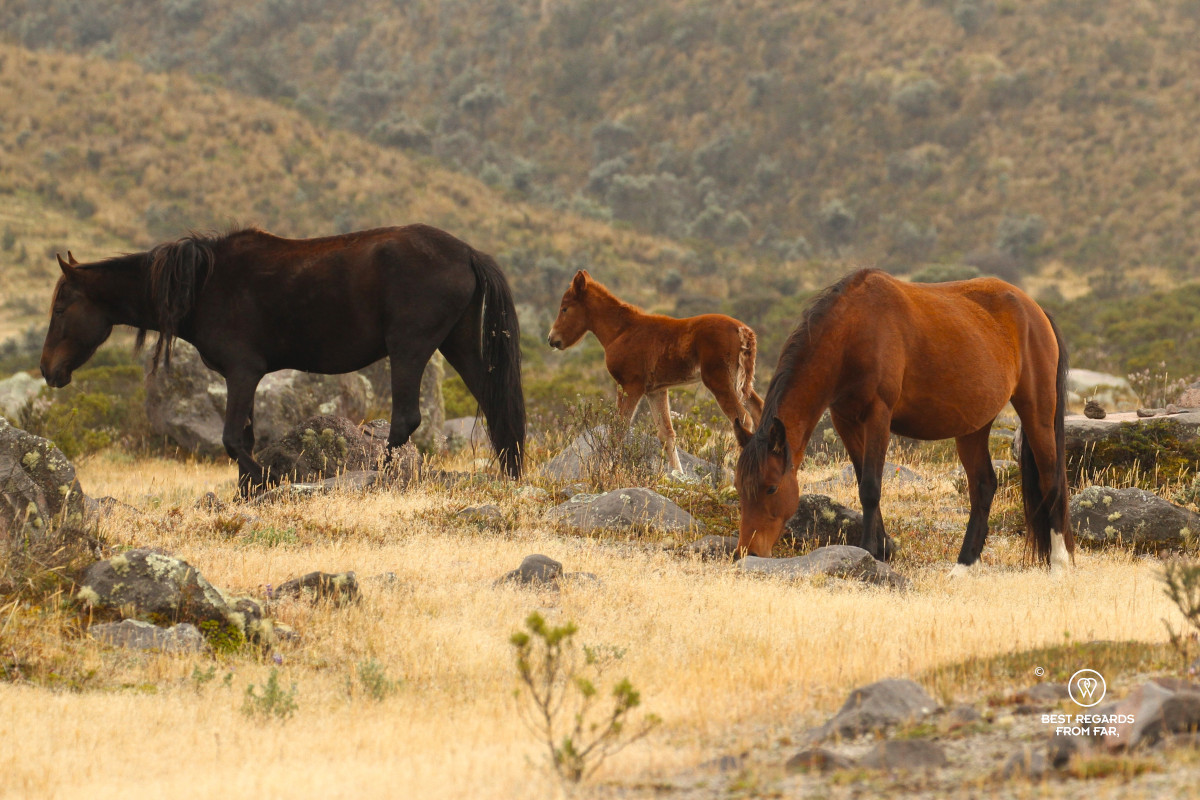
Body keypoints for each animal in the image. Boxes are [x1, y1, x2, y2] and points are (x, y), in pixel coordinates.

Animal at [40, 224, 526, 494]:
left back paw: (383, 479)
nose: (48, 369)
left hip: (409, 349)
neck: (204, 284)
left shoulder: (242, 372)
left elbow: (234, 440)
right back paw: (511, 471)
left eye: (61, 308)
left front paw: (262, 482)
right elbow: (245, 437)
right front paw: (248, 490)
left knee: (405, 420)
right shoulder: (245, 378)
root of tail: (467, 252)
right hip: (457, 344)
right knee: (494, 403)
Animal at [547, 269, 764, 472]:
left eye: (565, 308)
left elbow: (619, 429)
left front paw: (607, 469)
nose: (552, 339)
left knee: (742, 418)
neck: (621, 331)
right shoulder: (656, 390)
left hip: (719, 379)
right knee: (757, 408)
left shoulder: (630, 385)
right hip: (740, 382)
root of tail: (743, 330)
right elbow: (666, 433)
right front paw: (679, 475)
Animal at [733, 268, 1073, 574]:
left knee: (1051, 478)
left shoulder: (878, 416)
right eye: (739, 487)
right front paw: (883, 550)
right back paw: (964, 565)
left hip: (1037, 412)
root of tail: (1035, 310)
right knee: (984, 485)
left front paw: (870, 551)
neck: (854, 331)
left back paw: (1059, 564)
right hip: (973, 427)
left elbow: (870, 487)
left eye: (771, 488)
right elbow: (862, 479)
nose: (748, 552)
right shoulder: (846, 420)